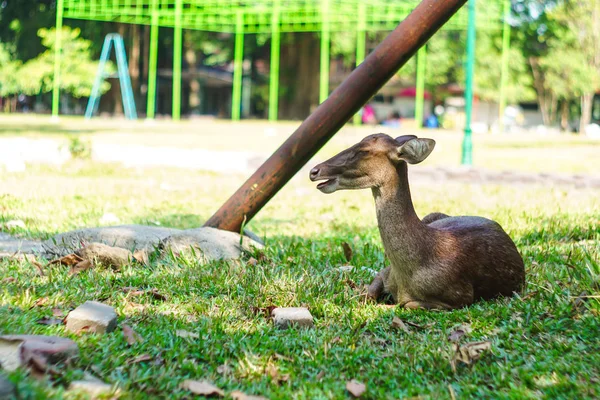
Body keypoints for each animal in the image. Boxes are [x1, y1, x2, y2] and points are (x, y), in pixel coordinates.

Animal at [310, 134, 524, 310]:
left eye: (364, 151)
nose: (314, 171)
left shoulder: (460, 296)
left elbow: (404, 304)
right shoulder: (385, 271)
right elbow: (368, 294)